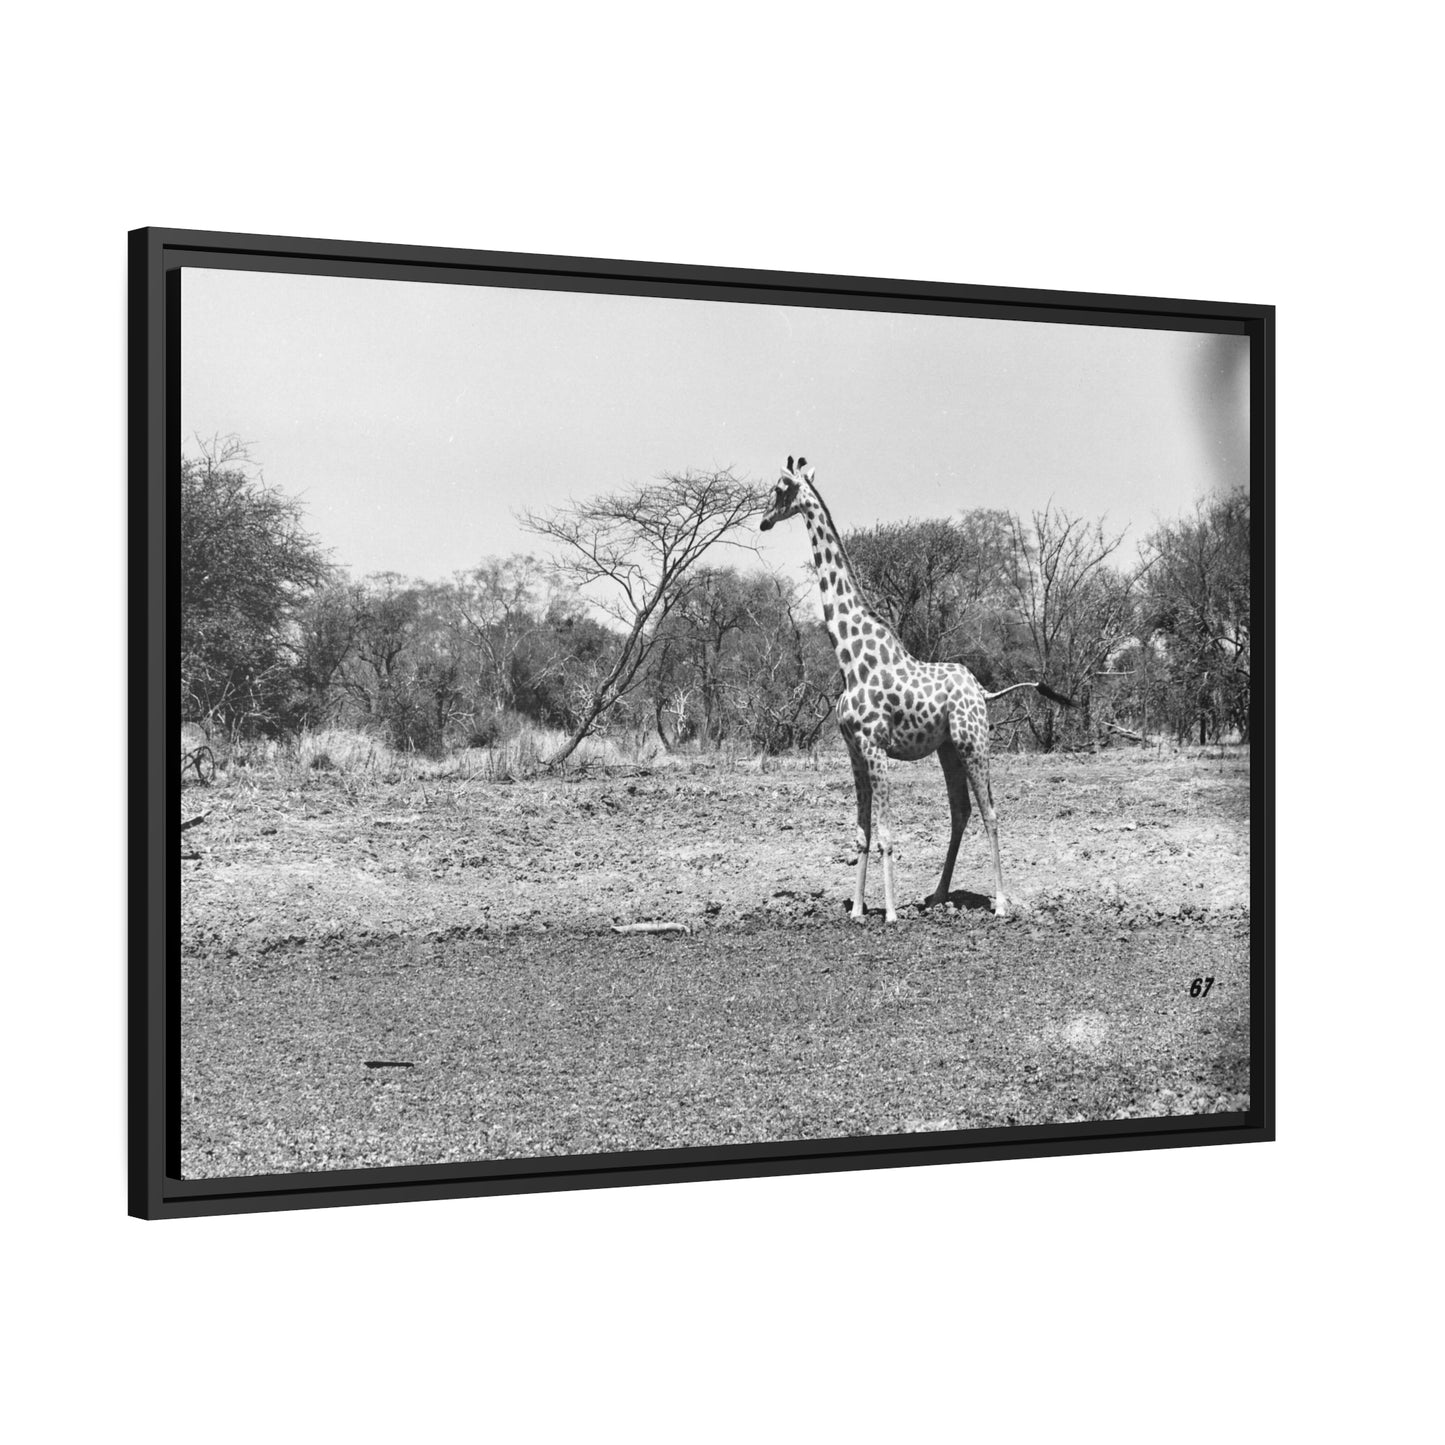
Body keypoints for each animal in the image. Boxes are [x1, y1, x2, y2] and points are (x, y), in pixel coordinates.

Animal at [759, 456, 1072, 923]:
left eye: (780, 488)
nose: (763, 521)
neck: (850, 660)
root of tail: (983, 692)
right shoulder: (854, 752)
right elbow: (861, 833)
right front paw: (857, 911)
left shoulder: (875, 748)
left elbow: (887, 833)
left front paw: (889, 914)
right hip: (948, 748)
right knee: (960, 811)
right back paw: (938, 895)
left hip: (974, 742)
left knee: (991, 811)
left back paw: (1000, 903)